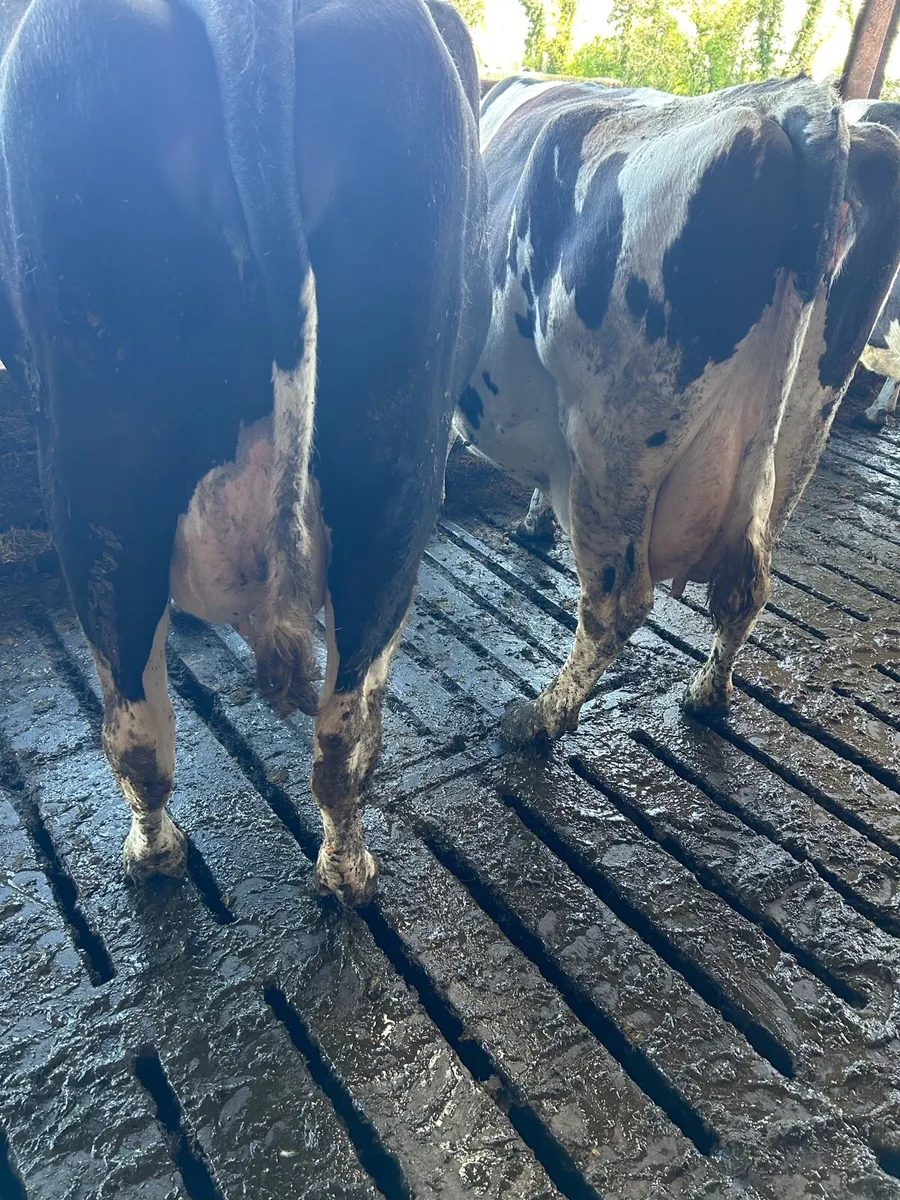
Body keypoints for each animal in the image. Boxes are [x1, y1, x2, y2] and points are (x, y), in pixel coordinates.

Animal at [0, 0, 490, 906]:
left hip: (102, 484)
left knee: (136, 721)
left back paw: (158, 855)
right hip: (393, 475)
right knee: (341, 724)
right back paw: (344, 870)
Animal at [454, 74, 900, 746]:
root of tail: (799, 104)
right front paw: (531, 521)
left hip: (613, 444)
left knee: (617, 603)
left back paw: (539, 718)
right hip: (802, 428)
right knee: (749, 587)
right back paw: (706, 694)